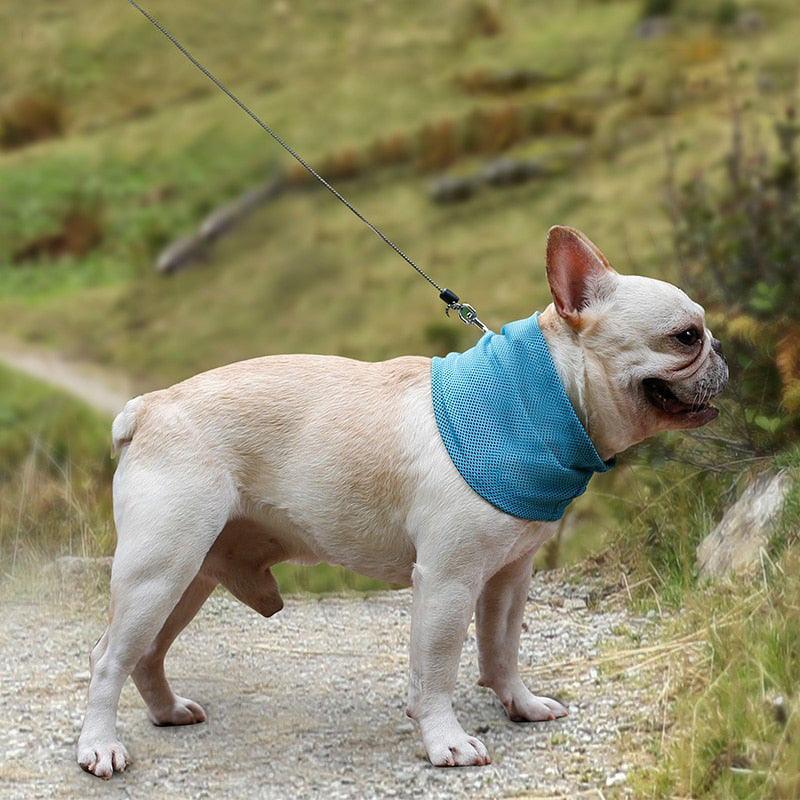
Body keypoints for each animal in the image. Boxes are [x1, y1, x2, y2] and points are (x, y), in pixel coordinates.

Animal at [78, 223, 728, 776]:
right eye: (685, 336)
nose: (723, 353)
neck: (544, 398)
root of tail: (150, 407)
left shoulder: (509, 575)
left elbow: (501, 650)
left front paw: (519, 704)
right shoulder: (447, 579)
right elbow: (436, 668)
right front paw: (447, 742)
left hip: (189, 576)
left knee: (147, 653)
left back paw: (166, 712)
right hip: (158, 569)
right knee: (109, 657)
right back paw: (101, 746)